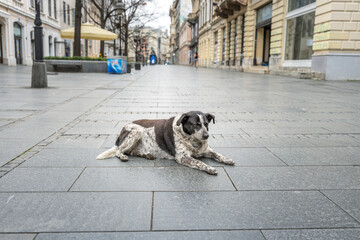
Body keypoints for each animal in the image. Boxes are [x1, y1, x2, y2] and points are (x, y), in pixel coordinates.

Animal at [97, 110, 235, 174]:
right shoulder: (183, 157)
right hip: (137, 131)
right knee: (119, 151)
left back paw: (147, 155)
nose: (206, 135)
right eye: (196, 125)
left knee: (131, 151)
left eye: (206, 124)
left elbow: (218, 154)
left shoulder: (207, 150)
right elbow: (199, 162)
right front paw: (209, 168)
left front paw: (227, 159)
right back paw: (123, 156)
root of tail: (122, 129)